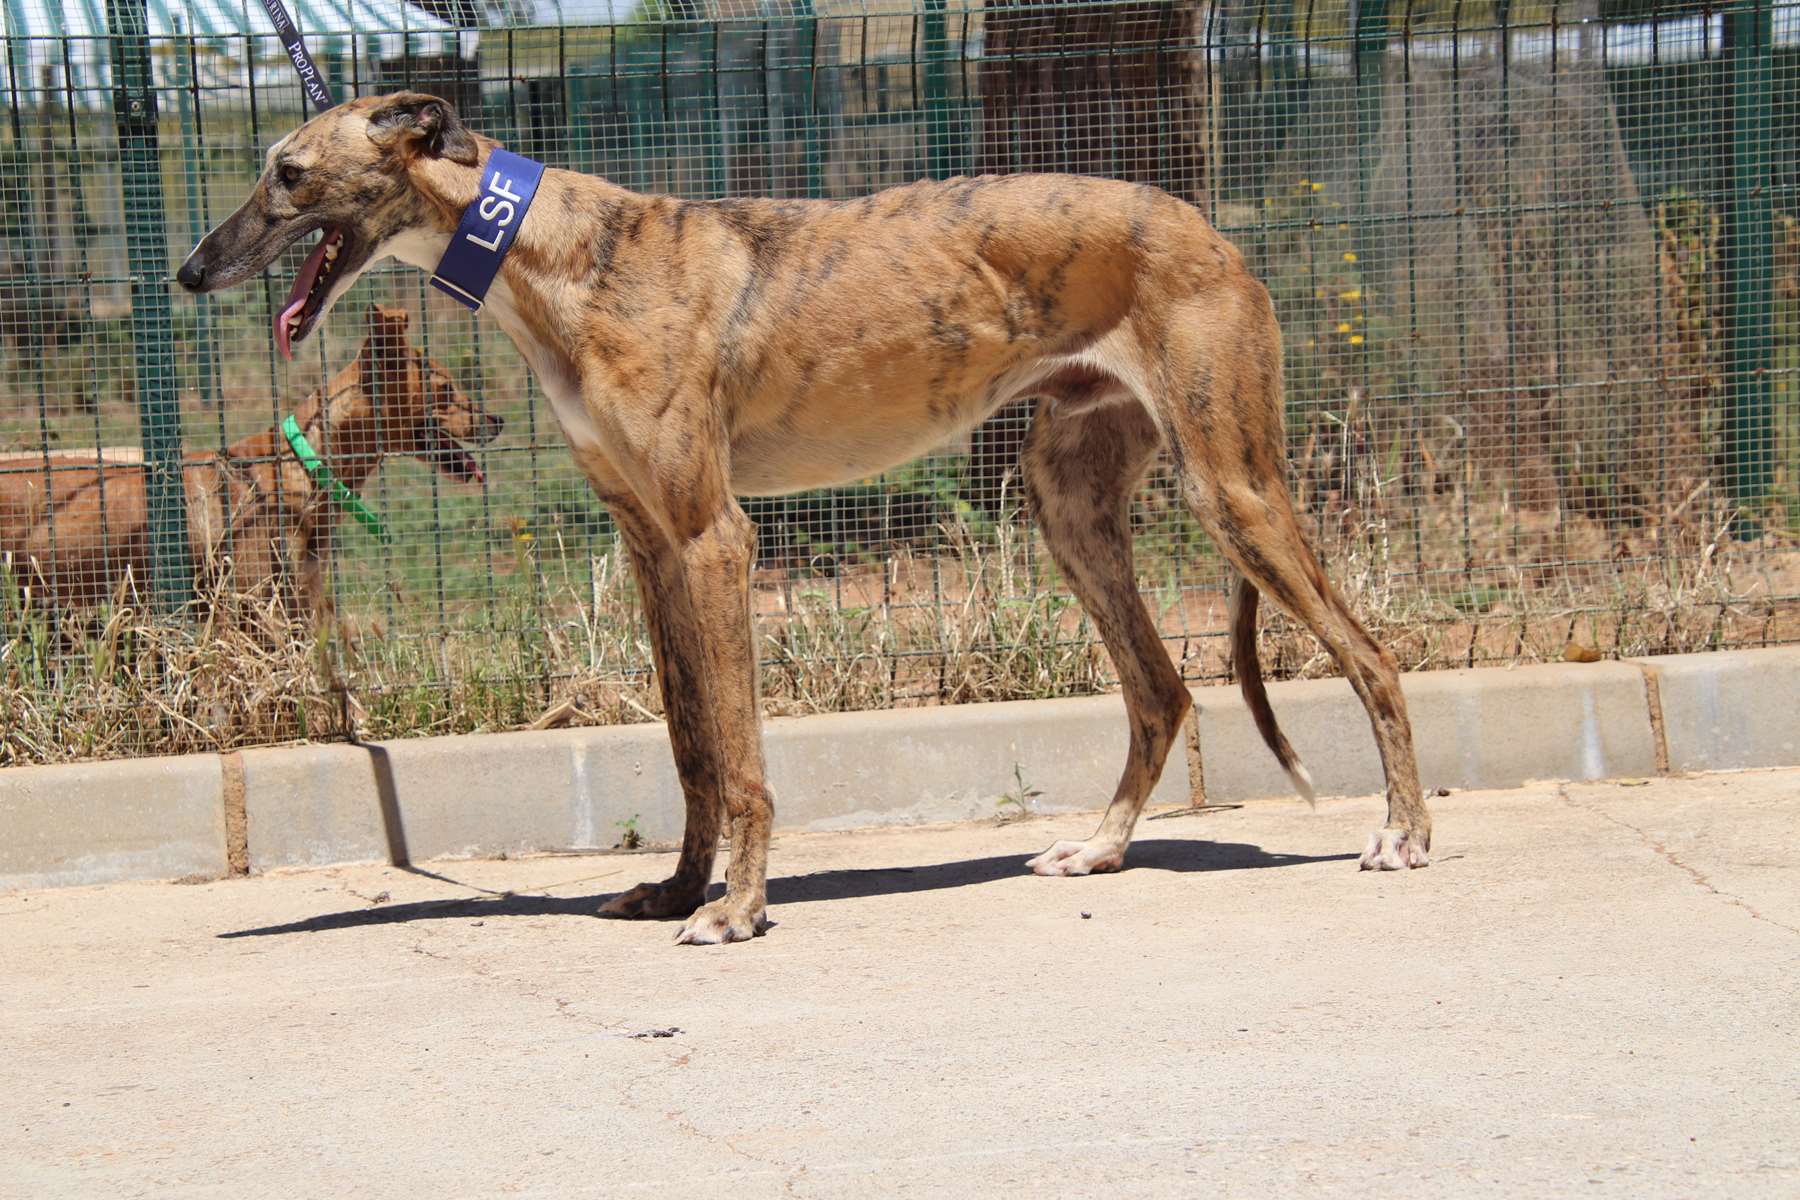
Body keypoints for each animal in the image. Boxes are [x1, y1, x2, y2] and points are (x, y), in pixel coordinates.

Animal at [177, 92, 1431, 944]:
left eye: (288, 173)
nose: (189, 271)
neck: (563, 253)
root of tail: (1211, 228)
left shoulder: (713, 538)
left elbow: (738, 753)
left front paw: (734, 909)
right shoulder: (650, 545)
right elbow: (691, 743)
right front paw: (678, 889)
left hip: (1234, 487)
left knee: (1370, 656)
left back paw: (1404, 835)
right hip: (1071, 503)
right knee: (1163, 689)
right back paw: (1101, 848)